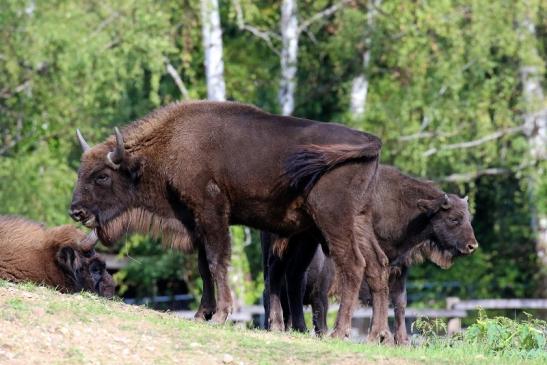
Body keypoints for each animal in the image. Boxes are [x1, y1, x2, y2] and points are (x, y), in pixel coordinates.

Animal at [69, 100, 386, 338]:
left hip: (334, 221)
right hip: (357, 221)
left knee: (353, 265)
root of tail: (370, 141)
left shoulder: (211, 213)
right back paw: (376, 335)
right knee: (378, 265)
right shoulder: (195, 221)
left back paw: (339, 332)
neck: (173, 142)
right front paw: (201, 315)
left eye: (102, 176)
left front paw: (221, 315)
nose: (76, 211)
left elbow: (216, 261)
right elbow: (203, 267)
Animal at [264, 164, 478, 342]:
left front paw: (400, 341)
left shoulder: (398, 266)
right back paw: (278, 325)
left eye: (468, 217)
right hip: (287, 243)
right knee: (276, 274)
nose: (472, 246)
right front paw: (383, 337)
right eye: (453, 218)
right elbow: (381, 291)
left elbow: (399, 301)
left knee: (293, 277)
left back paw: (297, 328)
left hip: (305, 244)